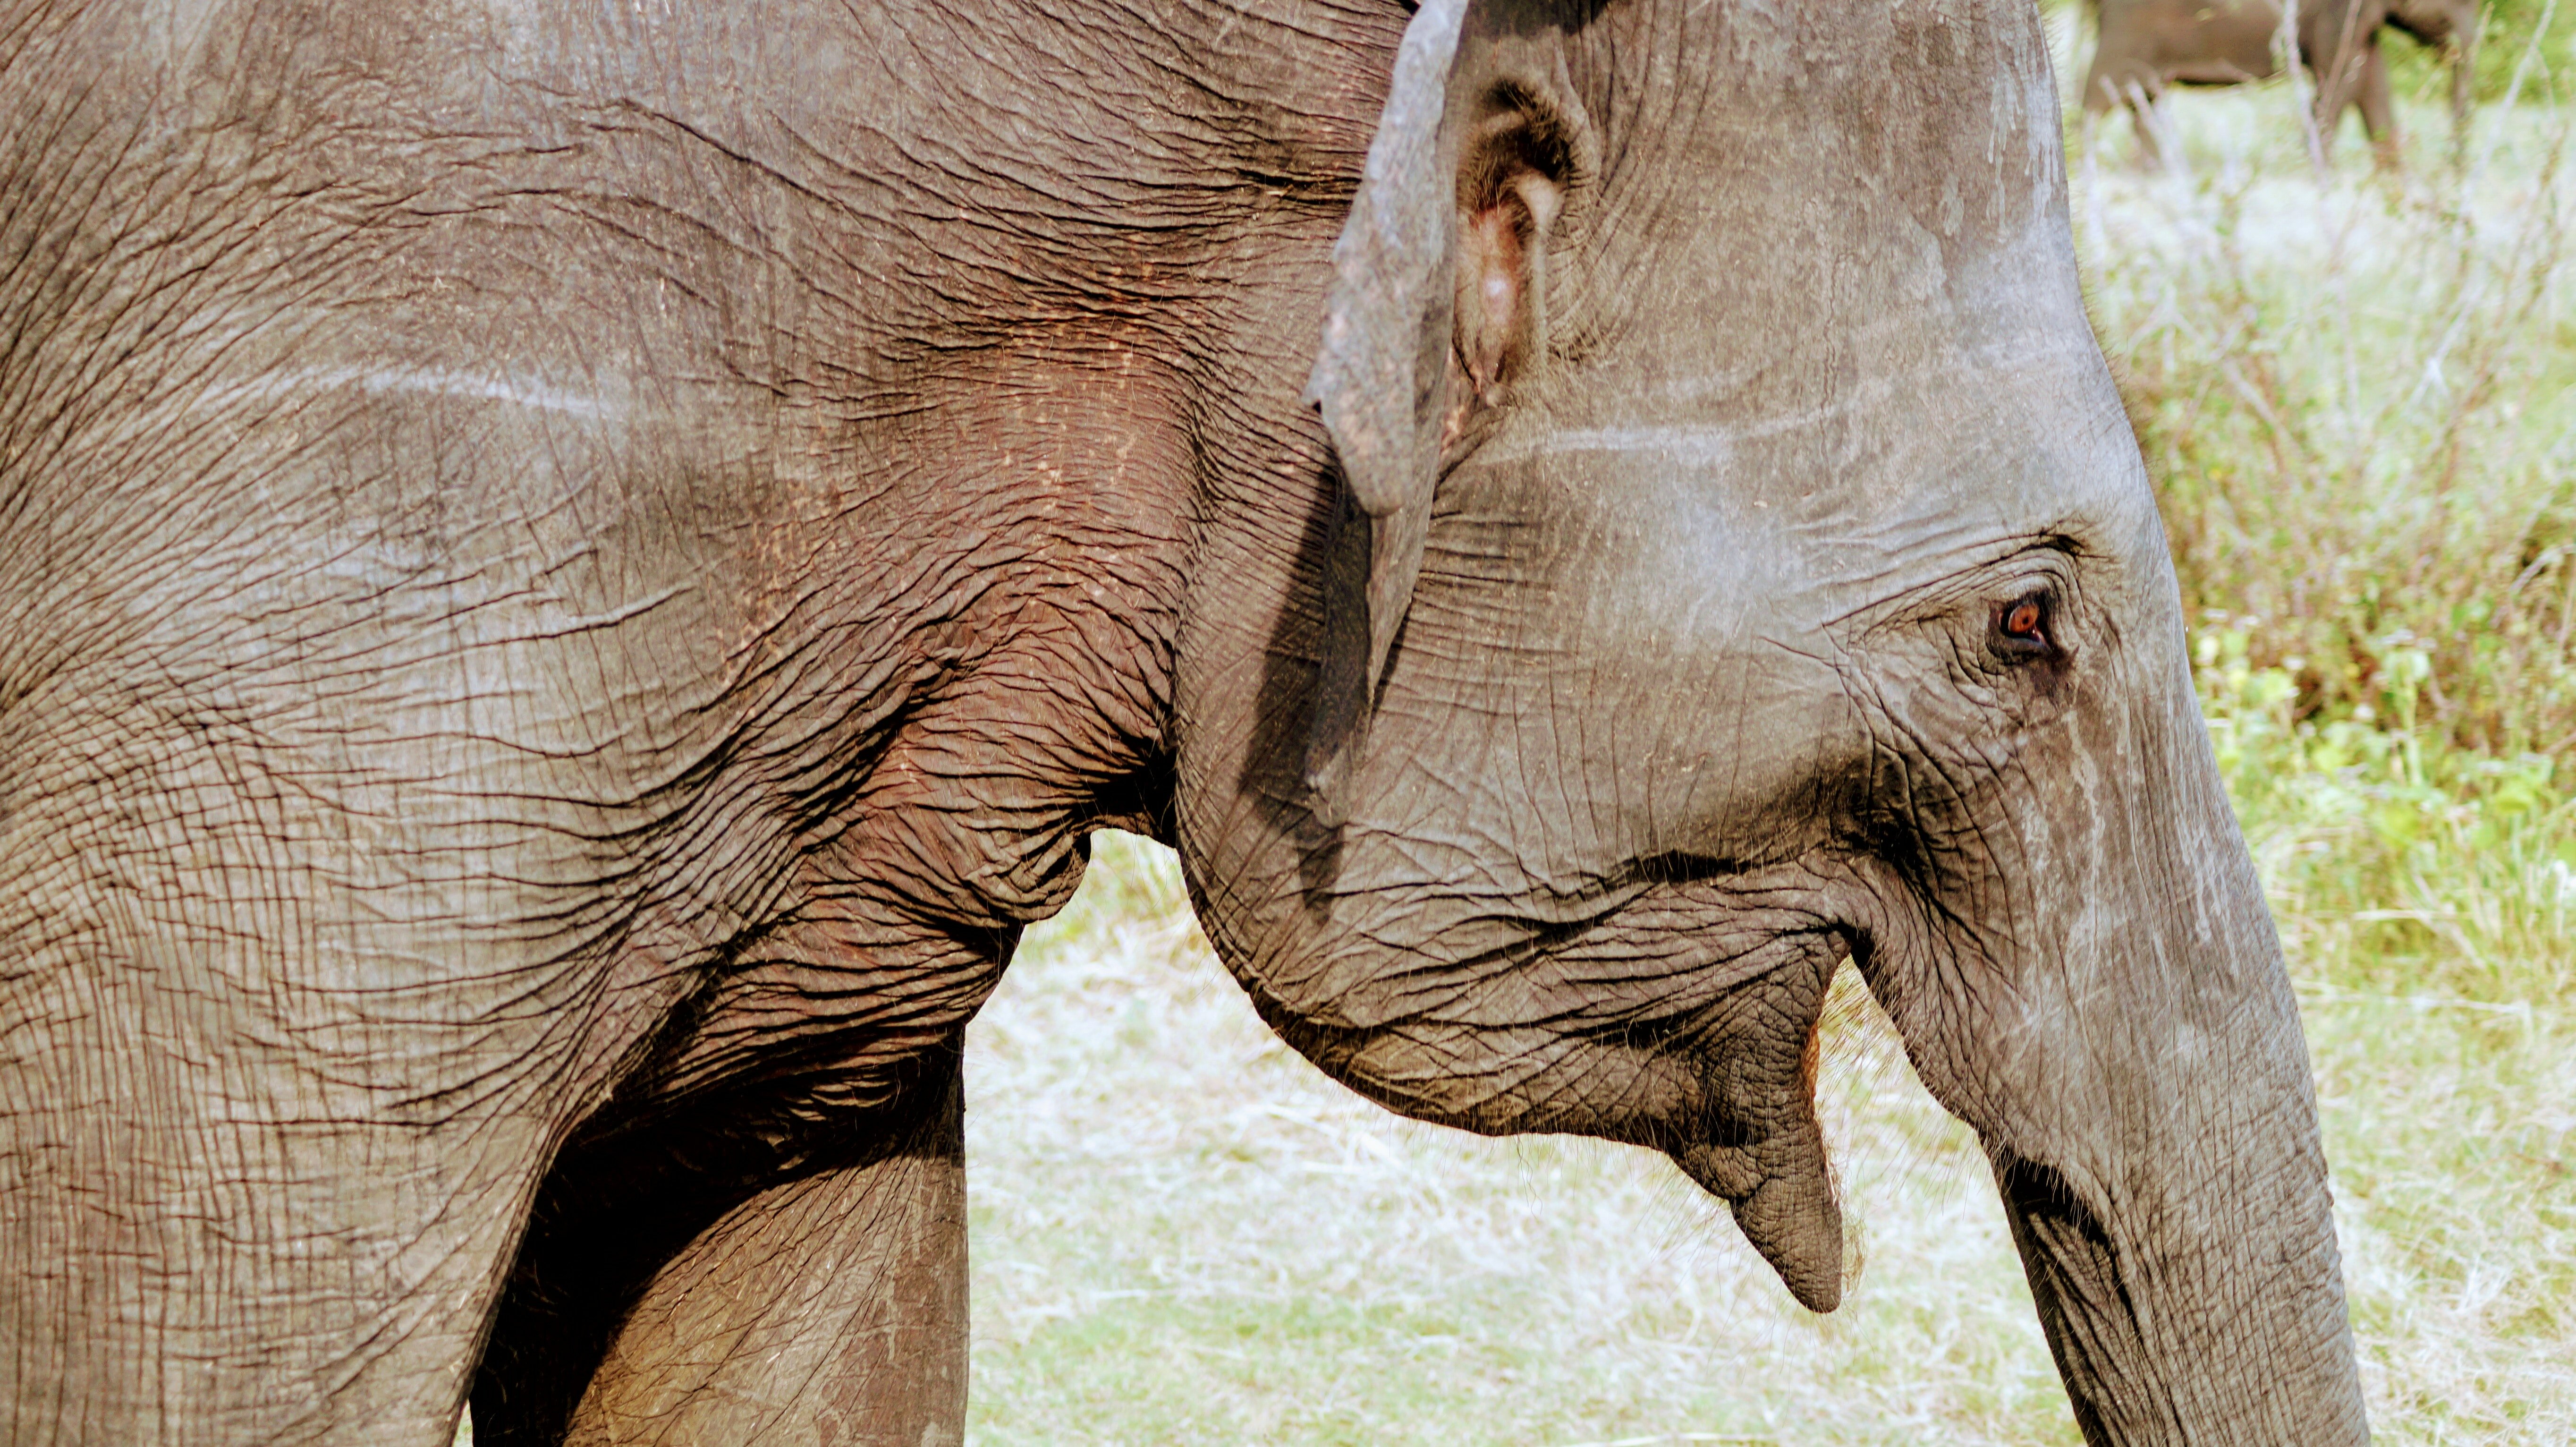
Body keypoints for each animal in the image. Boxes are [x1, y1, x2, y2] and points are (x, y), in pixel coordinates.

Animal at [2081, 0, 2483, 166]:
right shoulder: (2338, 12)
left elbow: (2371, 80)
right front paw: (2321, 173)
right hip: (2130, 26)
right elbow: (2340, 76)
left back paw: (2149, 173)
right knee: (2098, 92)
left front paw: (2394, 180)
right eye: (2449, 14)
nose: (2454, 168)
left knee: (2145, 99)